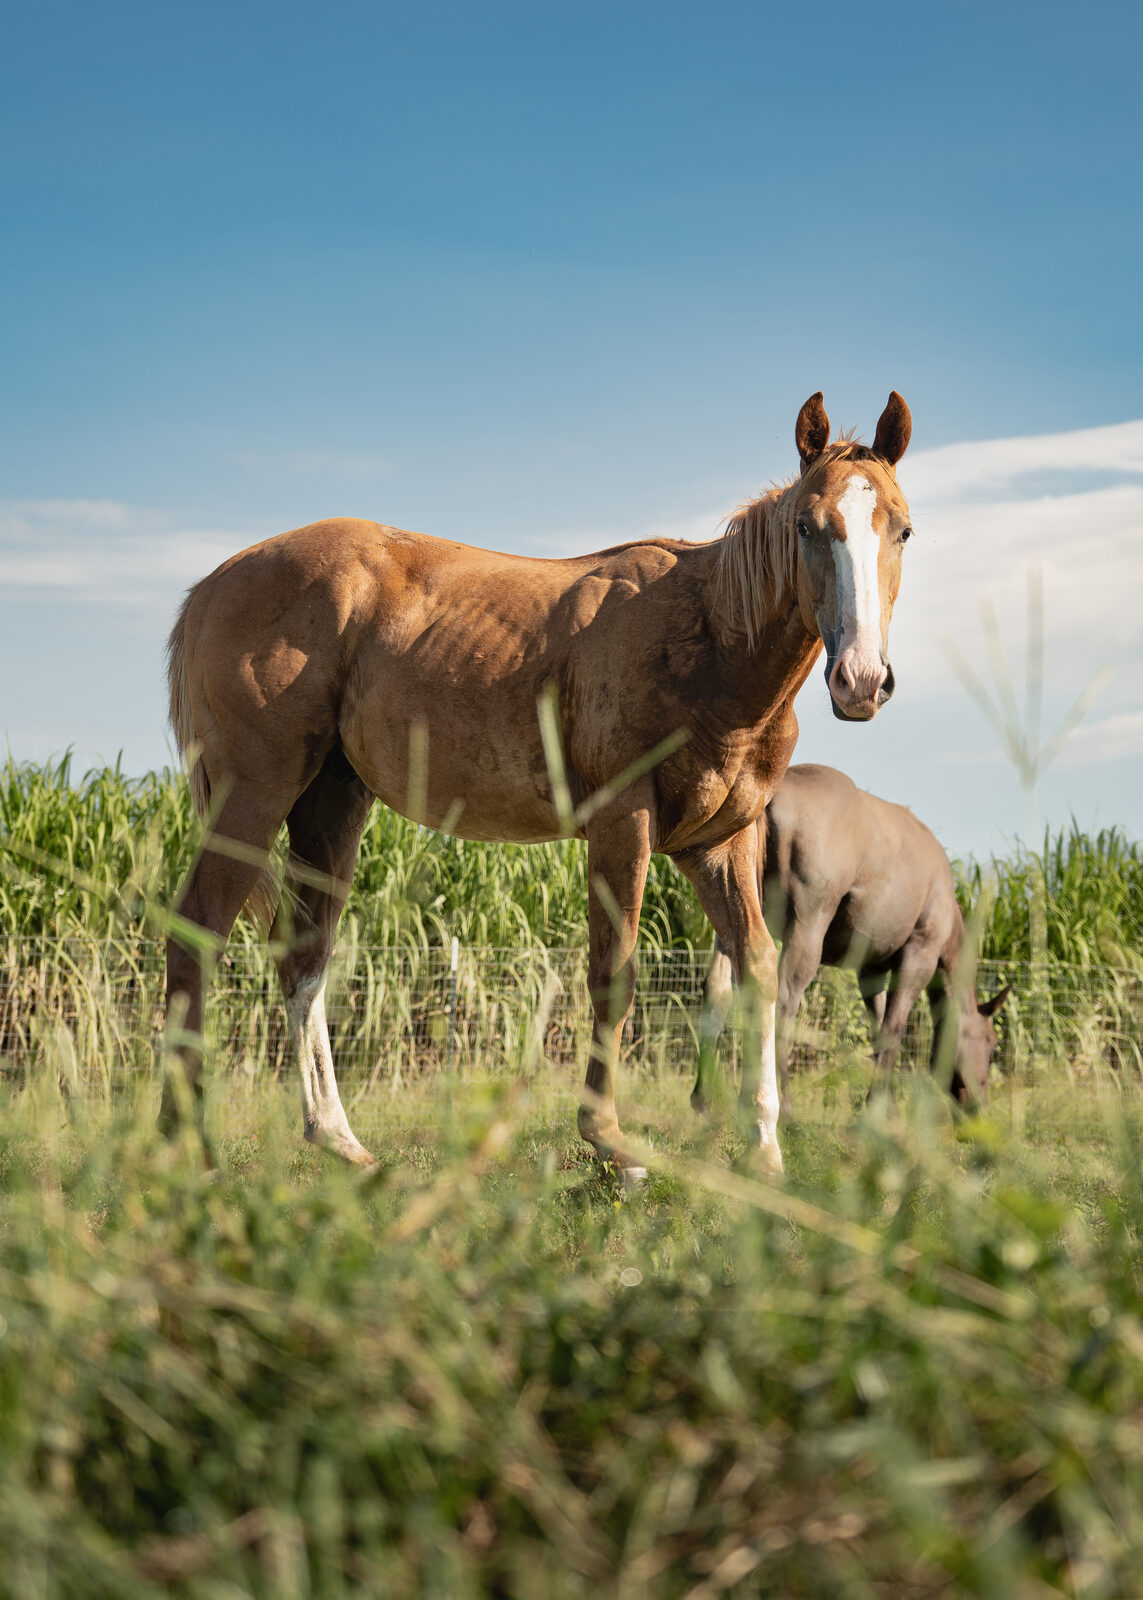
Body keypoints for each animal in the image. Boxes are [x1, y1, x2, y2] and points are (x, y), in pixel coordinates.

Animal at [161, 390, 914, 1178]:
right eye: (806, 526)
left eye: (902, 530)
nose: (861, 680)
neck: (709, 639)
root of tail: (211, 585)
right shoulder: (622, 826)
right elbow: (614, 971)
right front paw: (610, 1140)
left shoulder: (720, 844)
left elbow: (757, 968)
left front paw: (764, 1148)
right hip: (255, 794)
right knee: (197, 932)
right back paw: (186, 1145)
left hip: (330, 801)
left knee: (305, 958)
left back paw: (336, 1137)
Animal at [697, 764, 1011, 1112]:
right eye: (991, 1046)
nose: (980, 1105)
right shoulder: (919, 958)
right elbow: (893, 1029)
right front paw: (875, 1107)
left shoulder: (871, 969)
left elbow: (878, 1030)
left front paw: (886, 1106)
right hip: (806, 931)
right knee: (781, 1004)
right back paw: (784, 1104)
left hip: (732, 917)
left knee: (717, 992)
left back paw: (704, 1099)